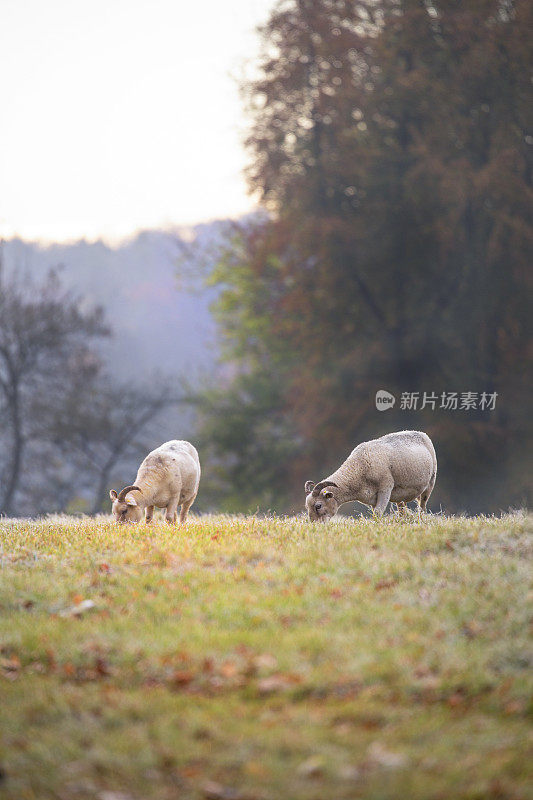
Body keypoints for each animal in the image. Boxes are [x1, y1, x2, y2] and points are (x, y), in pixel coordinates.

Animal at [306, 428, 434, 520]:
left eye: (318, 506)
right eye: (307, 507)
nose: (315, 525)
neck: (358, 467)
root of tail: (421, 433)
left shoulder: (385, 488)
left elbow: (378, 513)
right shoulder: (372, 498)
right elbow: (375, 512)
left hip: (430, 482)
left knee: (422, 506)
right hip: (401, 496)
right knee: (402, 509)